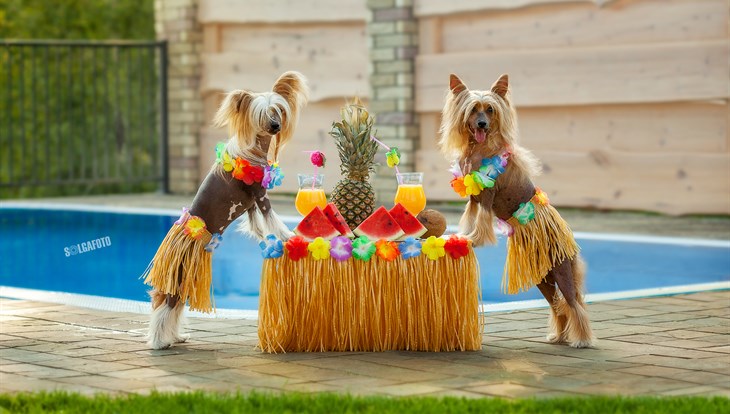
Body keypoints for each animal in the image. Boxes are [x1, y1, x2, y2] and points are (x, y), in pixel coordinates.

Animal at [145, 71, 308, 350]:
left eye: (277, 111)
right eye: (262, 115)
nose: (275, 126)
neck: (255, 148)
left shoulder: (251, 205)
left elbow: (258, 227)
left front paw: (270, 240)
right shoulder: (260, 196)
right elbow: (272, 220)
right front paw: (287, 236)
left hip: (187, 278)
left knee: (173, 307)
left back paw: (175, 337)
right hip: (179, 274)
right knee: (164, 305)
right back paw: (159, 342)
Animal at [438, 73, 592, 348]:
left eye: (490, 110)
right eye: (473, 109)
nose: (482, 124)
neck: (478, 150)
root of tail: (571, 242)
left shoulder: (487, 196)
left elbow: (481, 223)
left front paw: (473, 240)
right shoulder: (473, 200)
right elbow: (469, 218)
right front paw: (460, 236)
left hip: (562, 272)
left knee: (574, 305)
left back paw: (581, 340)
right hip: (543, 278)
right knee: (558, 306)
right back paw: (558, 336)